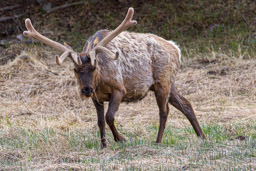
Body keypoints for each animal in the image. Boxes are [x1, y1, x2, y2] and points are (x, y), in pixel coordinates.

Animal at [24, 7, 206, 148]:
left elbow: (109, 117)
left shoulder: (119, 89)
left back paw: (158, 141)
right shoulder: (96, 97)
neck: (100, 82)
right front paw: (103, 144)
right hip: (168, 83)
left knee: (164, 111)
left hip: (163, 81)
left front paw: (121, 139)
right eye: (75, 69)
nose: (86, 89)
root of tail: (177, 49)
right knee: (186, 104)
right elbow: (100, 121)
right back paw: (202, 136)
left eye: (94, 67)